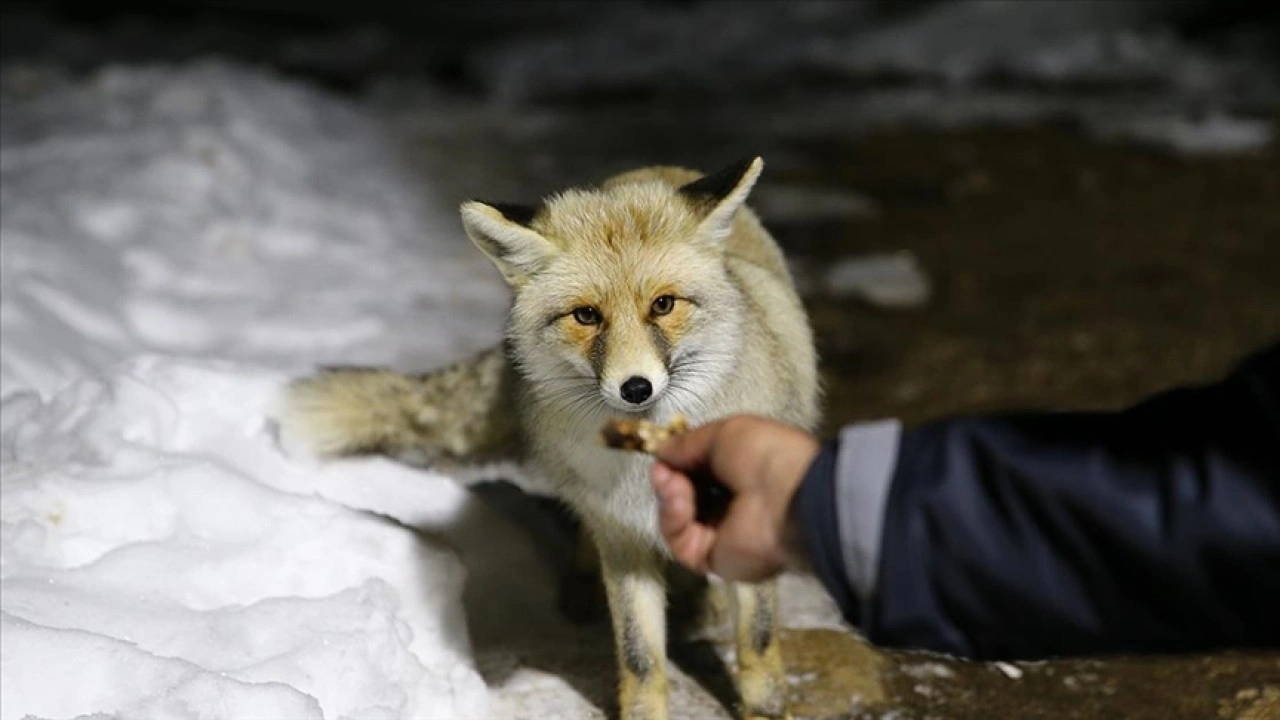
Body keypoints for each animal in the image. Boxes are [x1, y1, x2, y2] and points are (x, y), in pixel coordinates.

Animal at [277, 156, 819, 717]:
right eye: (586, 315)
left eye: (663, 305)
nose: (636, 387)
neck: (645, 459)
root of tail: (648, 168)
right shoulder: (622, 534)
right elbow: (640, 659)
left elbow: (757, 643)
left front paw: (765, 709)